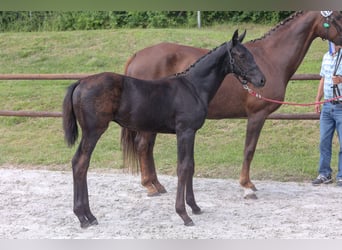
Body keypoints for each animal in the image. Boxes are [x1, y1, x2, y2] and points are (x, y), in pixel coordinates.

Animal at [62, 30, 266, 228]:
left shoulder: (191, 132)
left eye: (250, 54)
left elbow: (190, 166)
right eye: (241, 55)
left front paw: (194, 207)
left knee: (79, 163)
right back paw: (84, 217)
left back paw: (87, 216)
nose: (262, 80)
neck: (193, 87)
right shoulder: (185, 132)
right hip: (93, 131)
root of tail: (80, 83)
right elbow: (183, 167)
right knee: (80, 163)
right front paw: (183, 214)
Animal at [124, 11, 342, 199]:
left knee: (147, 147)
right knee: (143, 146)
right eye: (337, 17)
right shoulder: (256, 115)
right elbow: (249, 149)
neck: (271, 58)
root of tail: (136, 56)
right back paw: (150, 186)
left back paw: (156, 184)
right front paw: (247, 186)